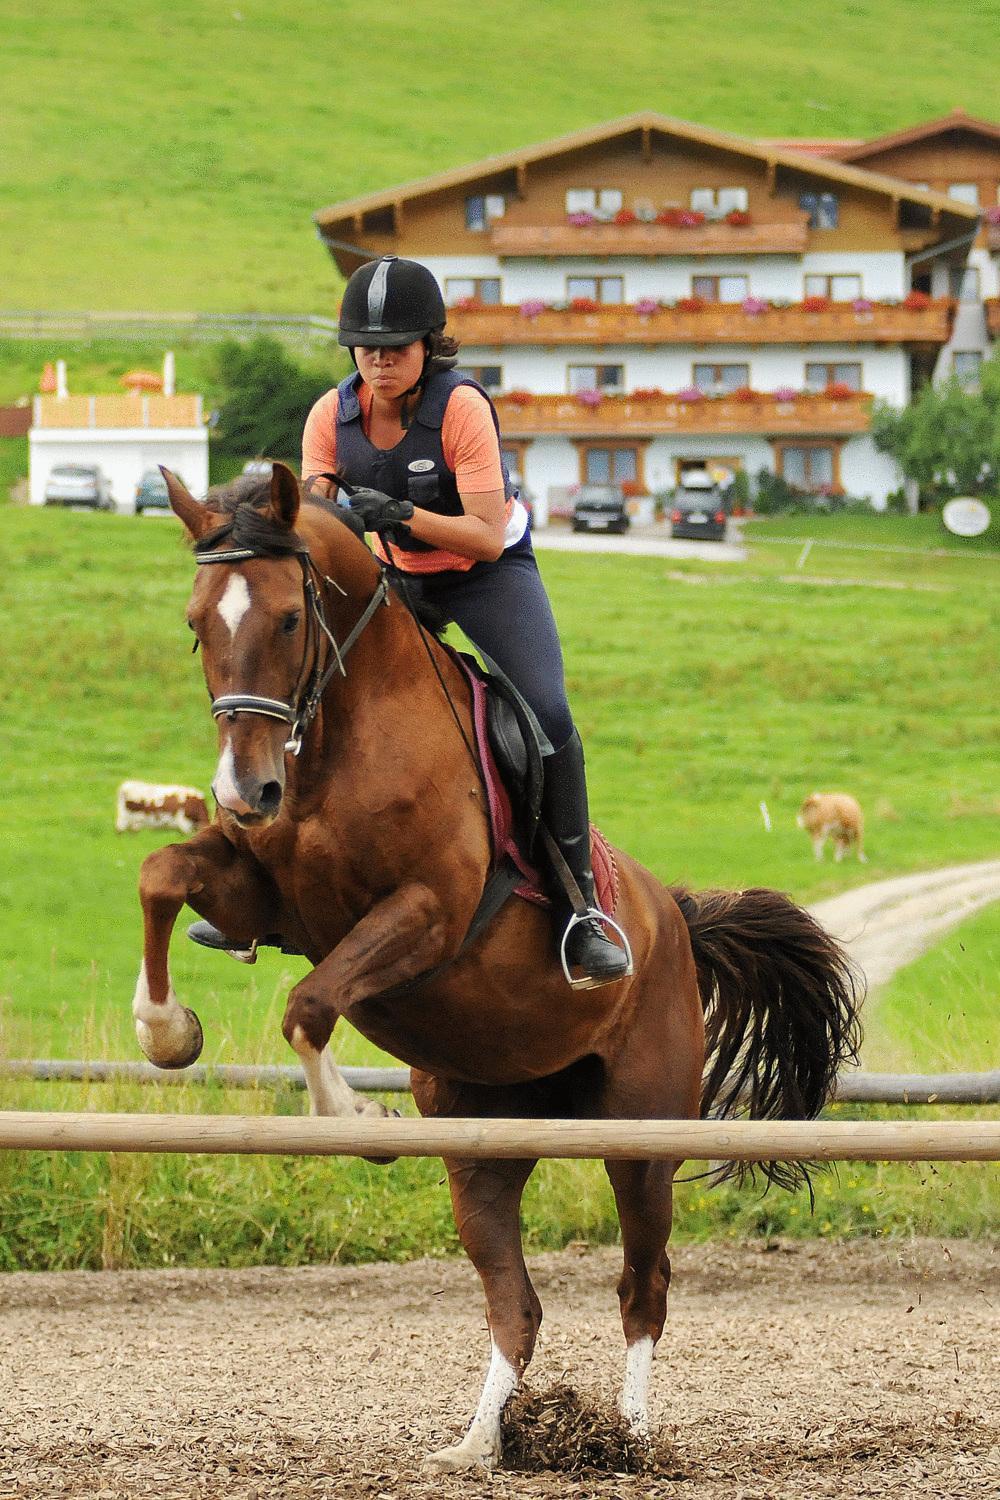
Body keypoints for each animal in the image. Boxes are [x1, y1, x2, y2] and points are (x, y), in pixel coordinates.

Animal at [134, 462, 863, 1470]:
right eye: (197, 622)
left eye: (286, 620)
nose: (246, 792)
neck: (337, 739)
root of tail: (673, 919)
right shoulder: (269, 900)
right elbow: (163, 875)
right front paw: (165, 1030)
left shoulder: (428, 914)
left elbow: (310, 1005)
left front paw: (356, 1120)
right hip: (482, 1140)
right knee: (515, 1303)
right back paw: (476, 1445)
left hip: (641, 1136)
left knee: (644, 1286)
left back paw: (629, 1439)